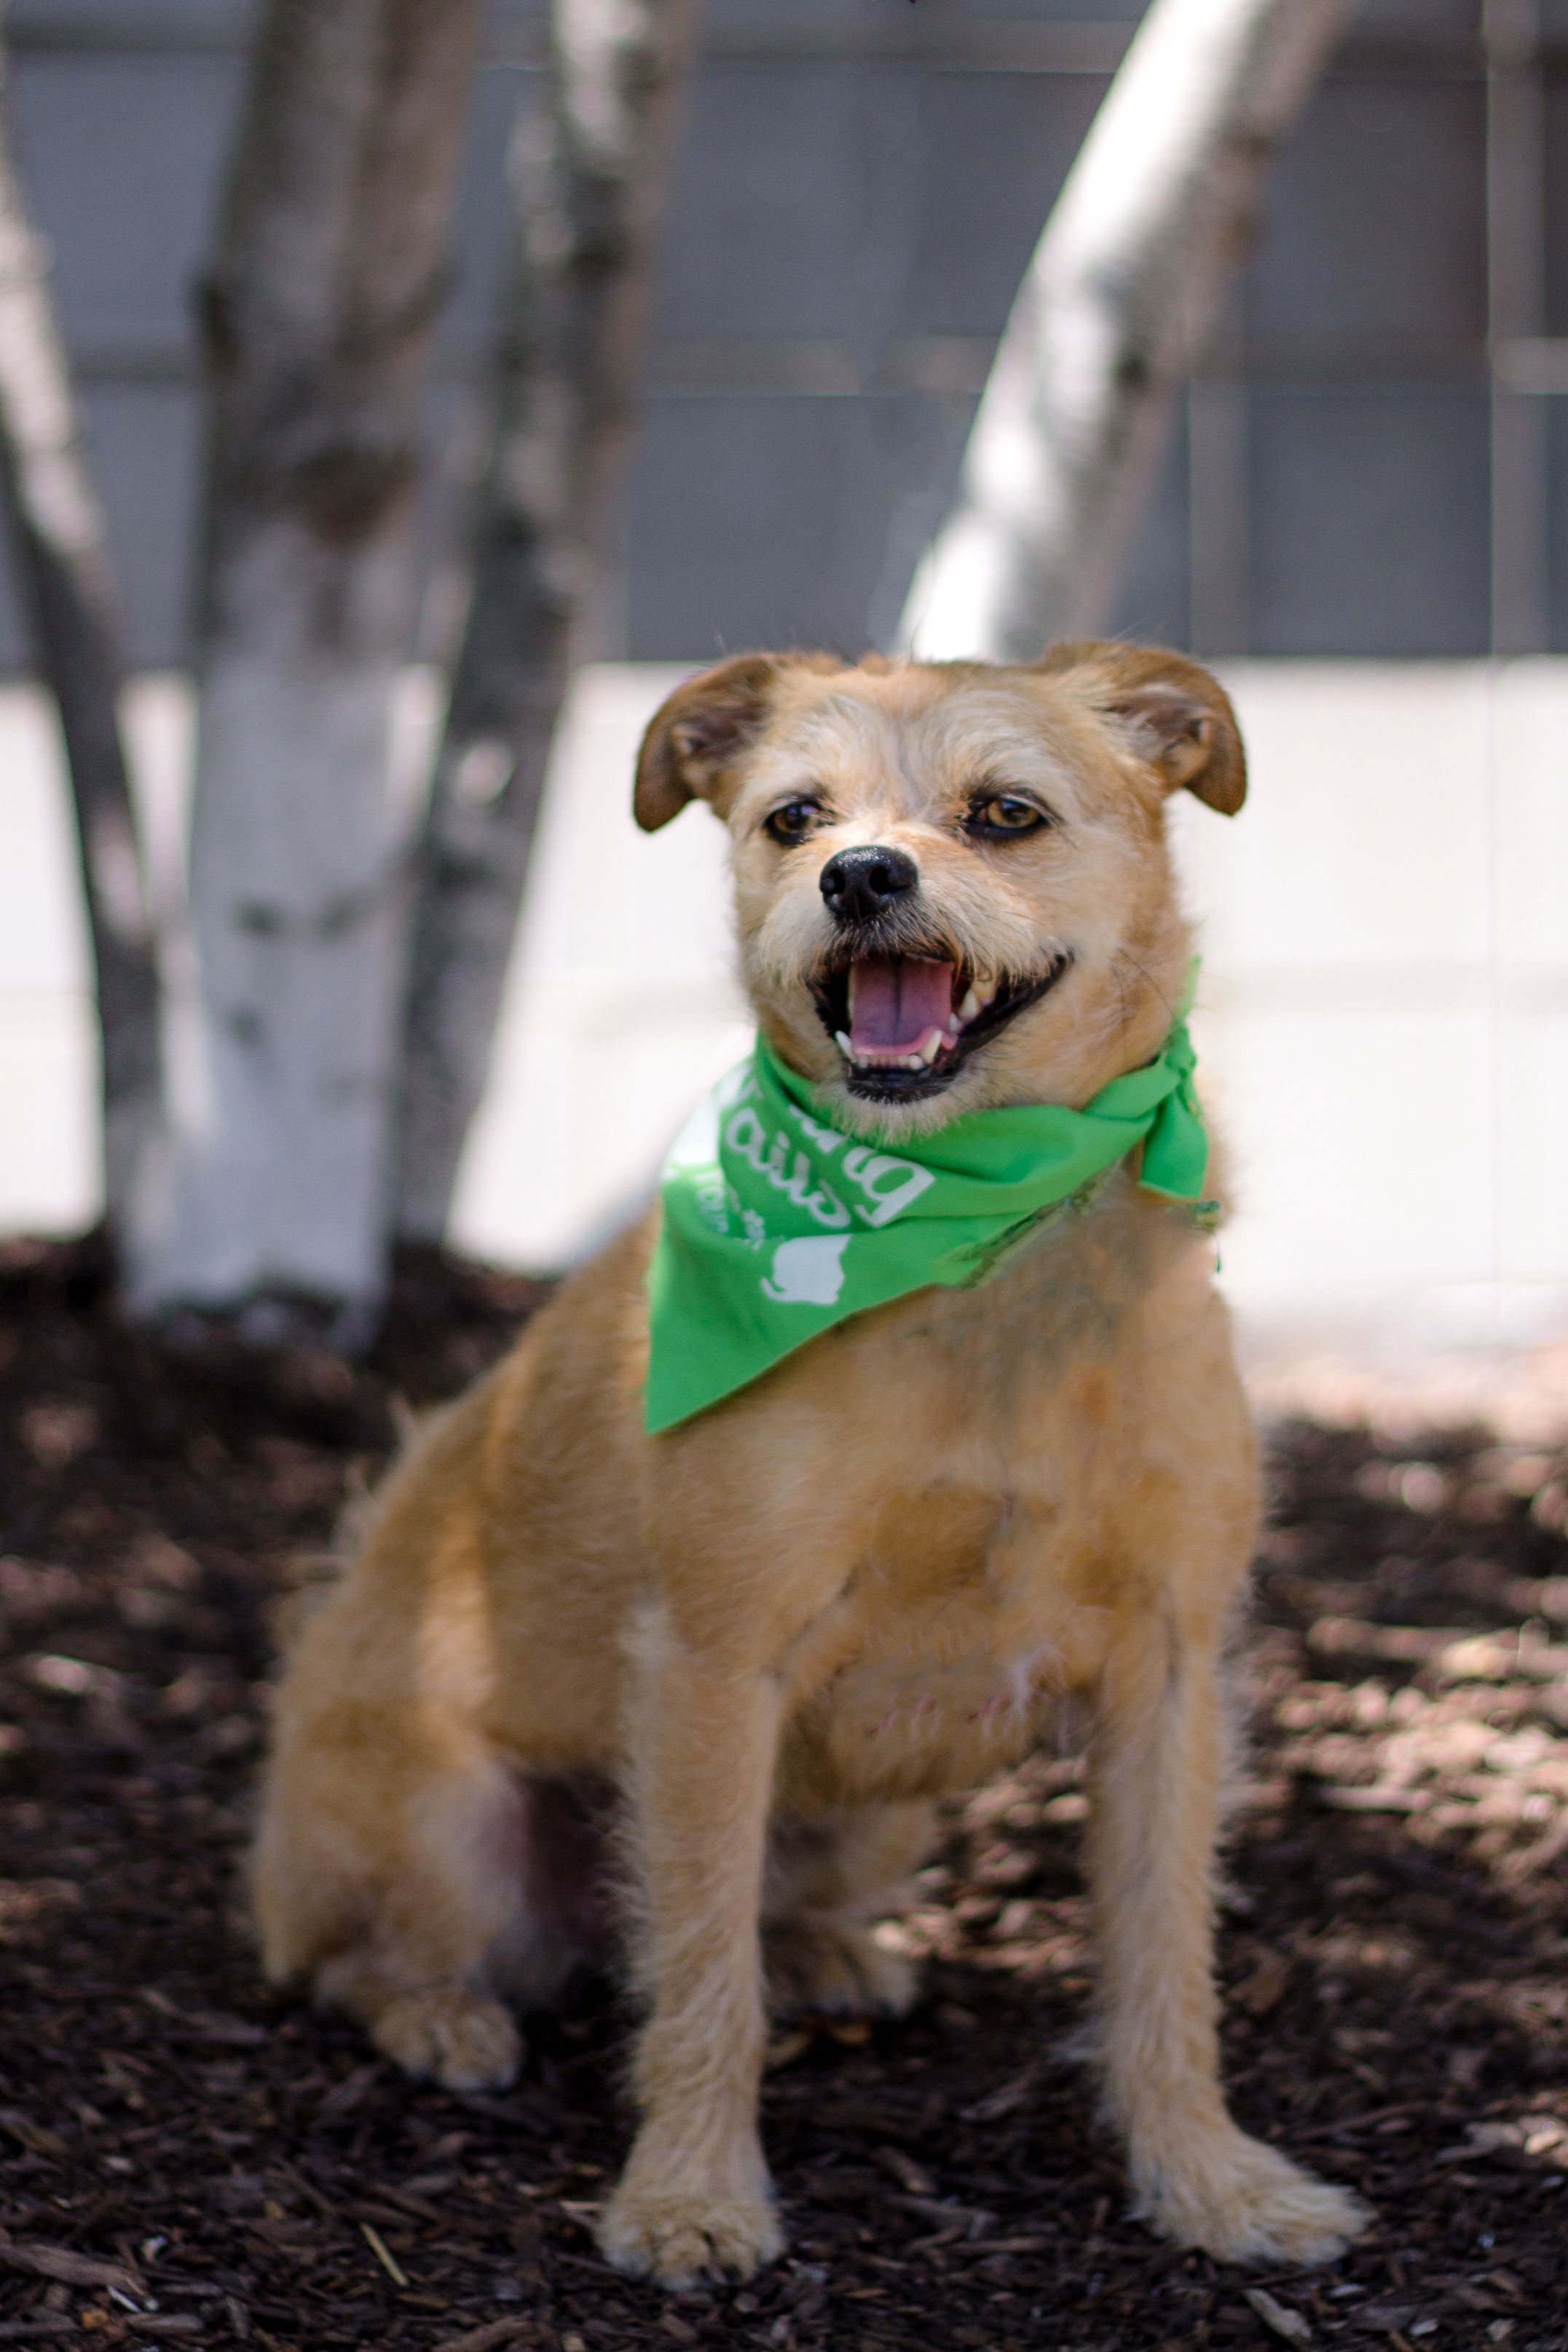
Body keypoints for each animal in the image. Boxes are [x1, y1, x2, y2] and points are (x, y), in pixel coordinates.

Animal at [251, 640, 1363, 2276]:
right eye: (791, 818)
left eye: (1004, 811)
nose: (857, 876)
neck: (975, 1249)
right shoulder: (719, 1662)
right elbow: (701, 1970)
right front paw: (689, 2196)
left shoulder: (1171, 1671)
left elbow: (1165, 1960)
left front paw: (1209, 2182)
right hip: (445, 1822)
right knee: (355, 1955)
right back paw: (438, 2012)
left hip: (879, 1804)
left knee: (776, 1908)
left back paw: (834, 1947)